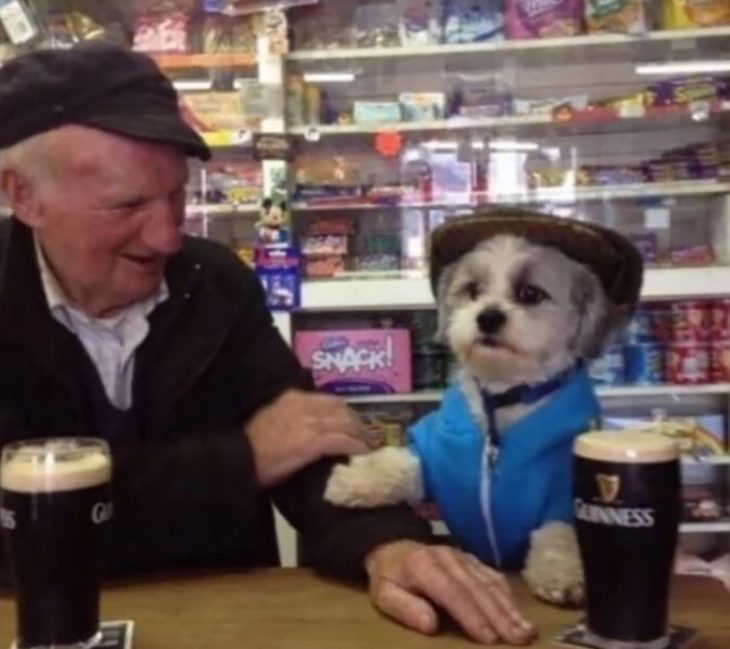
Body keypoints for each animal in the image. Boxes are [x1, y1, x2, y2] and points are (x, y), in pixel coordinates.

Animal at [322, 215, 636, 604]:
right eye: (472, 290)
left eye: (530, 294)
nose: (488, 316)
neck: (501, 401)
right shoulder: (434, 459)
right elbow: (401, 462)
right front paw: (354, 479)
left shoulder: (564, 490)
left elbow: (560, 533)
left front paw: (561, 574)